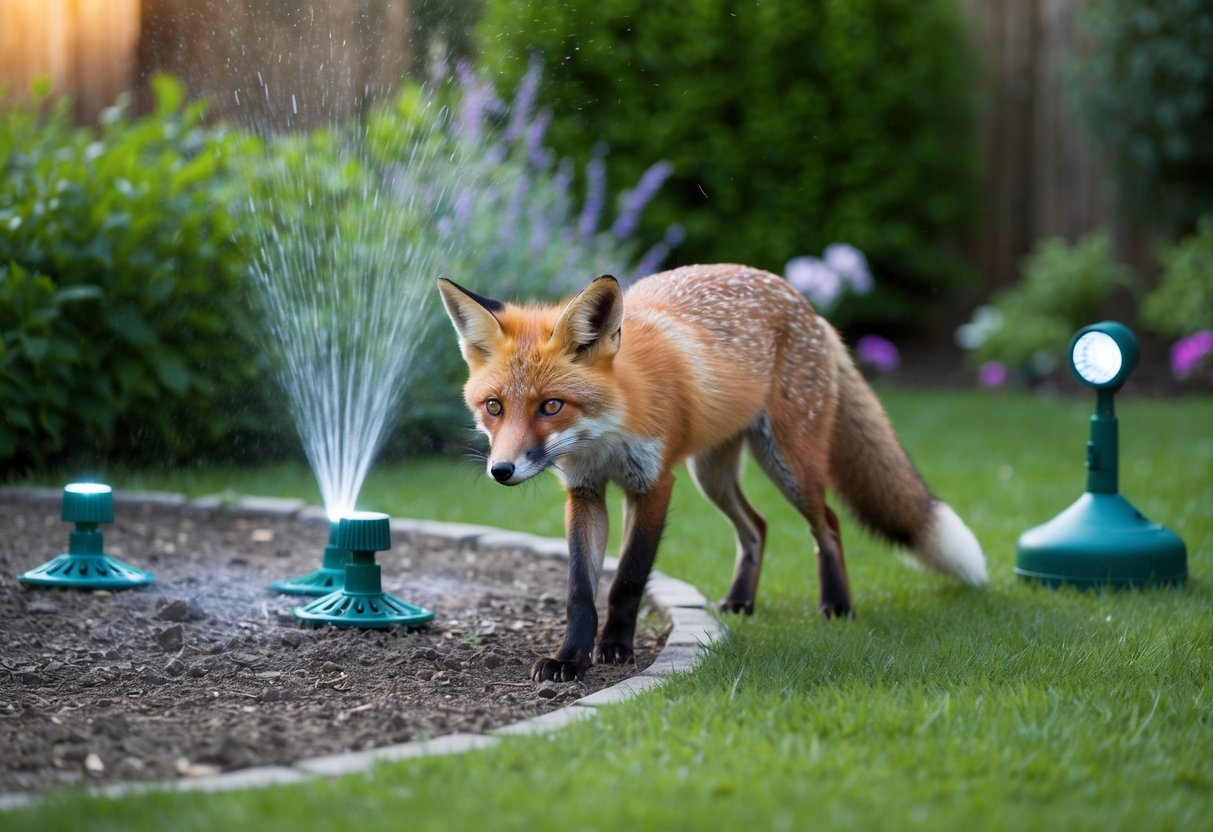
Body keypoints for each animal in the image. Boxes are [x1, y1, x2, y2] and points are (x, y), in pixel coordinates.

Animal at [437, 264, 987, 682]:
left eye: (551, 406)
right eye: (493, 407)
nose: (501, 470)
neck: (606, 434)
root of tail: (804, 302)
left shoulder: (654, 484)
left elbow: (628, 579)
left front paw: (616, 648)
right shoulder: (585, 492)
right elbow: (580, 592)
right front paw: (570, 659)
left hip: (789, 465)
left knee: (827, 524)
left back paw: (837, 606)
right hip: (713, 474)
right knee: (757, 525)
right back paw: (741, 601)